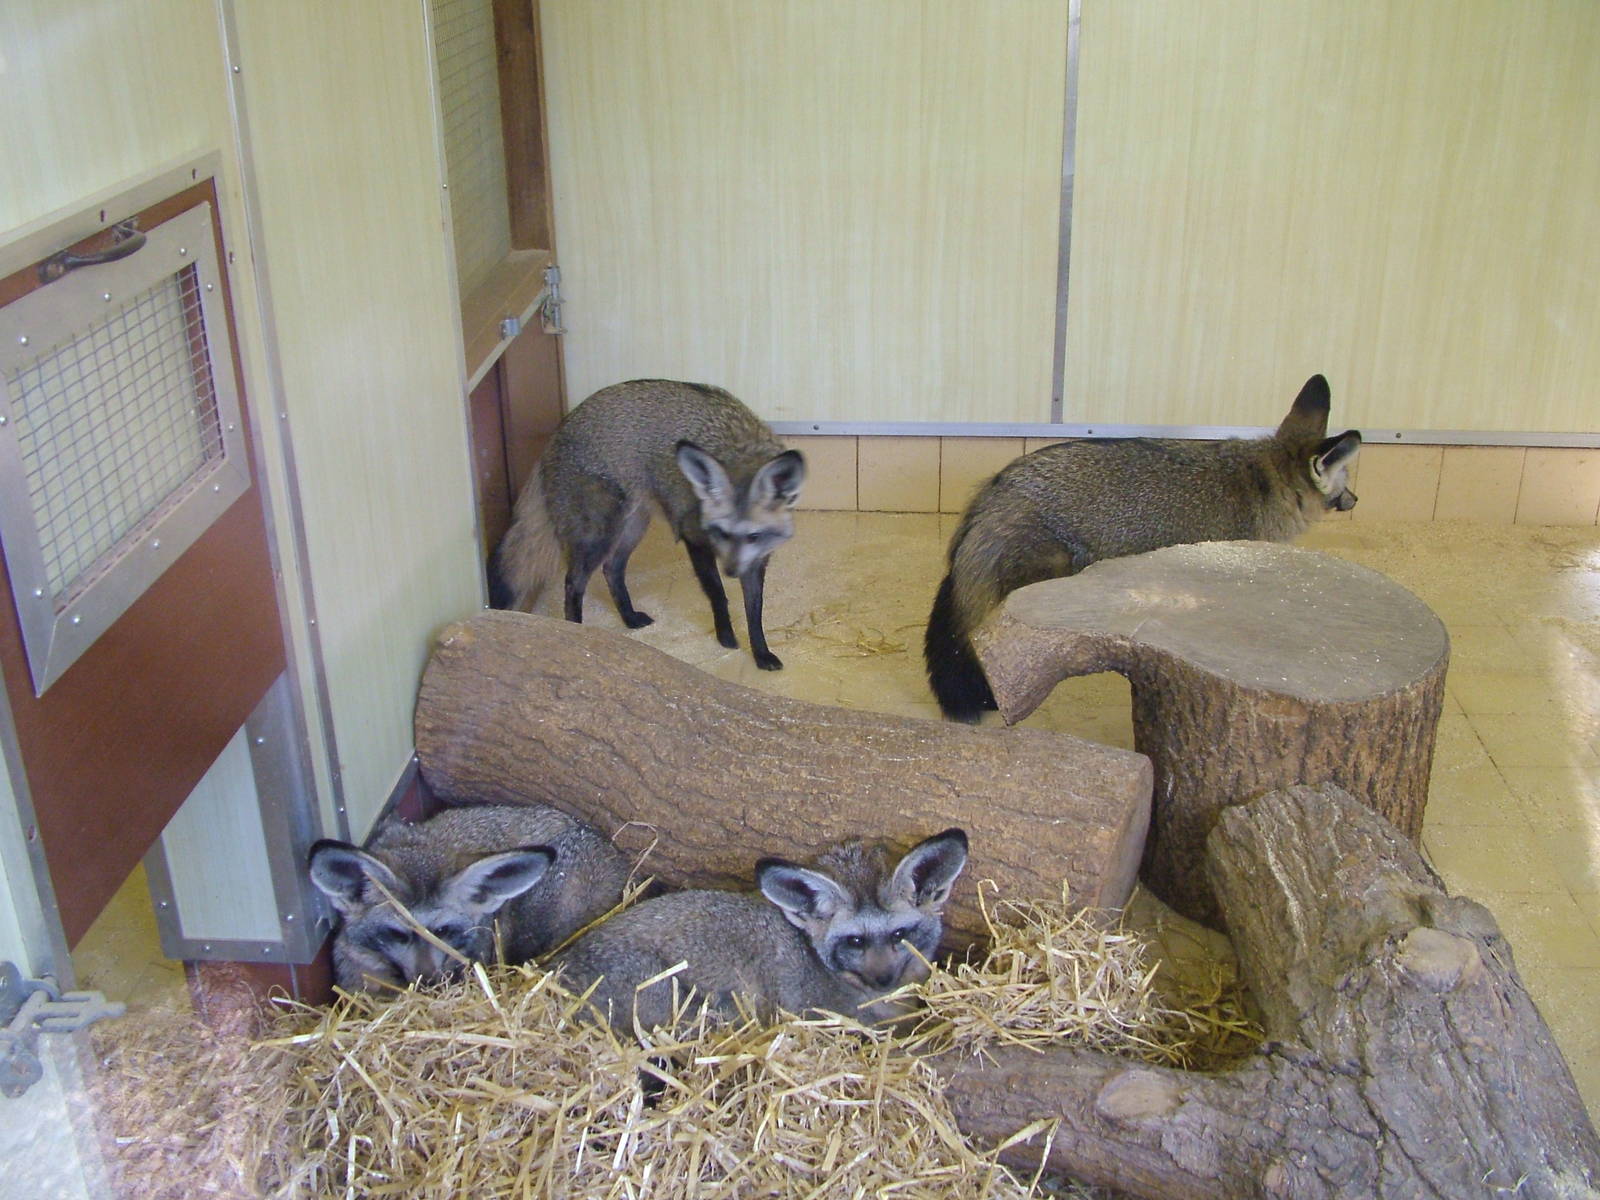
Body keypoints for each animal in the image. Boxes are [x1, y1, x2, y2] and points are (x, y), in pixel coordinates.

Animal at [488, 379, 806, 670]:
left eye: (754, 536)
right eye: (720, 532)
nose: (731, 571)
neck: (738, 450)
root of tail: (560, 428)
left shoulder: (756, 560)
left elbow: (755, 611)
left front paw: (760, 652)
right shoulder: (694, 539)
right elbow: (718, 594)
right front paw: (726, 636)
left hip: (633, 527)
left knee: (611, 569)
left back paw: (628, 618)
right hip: (601, 534)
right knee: (573, 582)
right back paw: (577, 630)